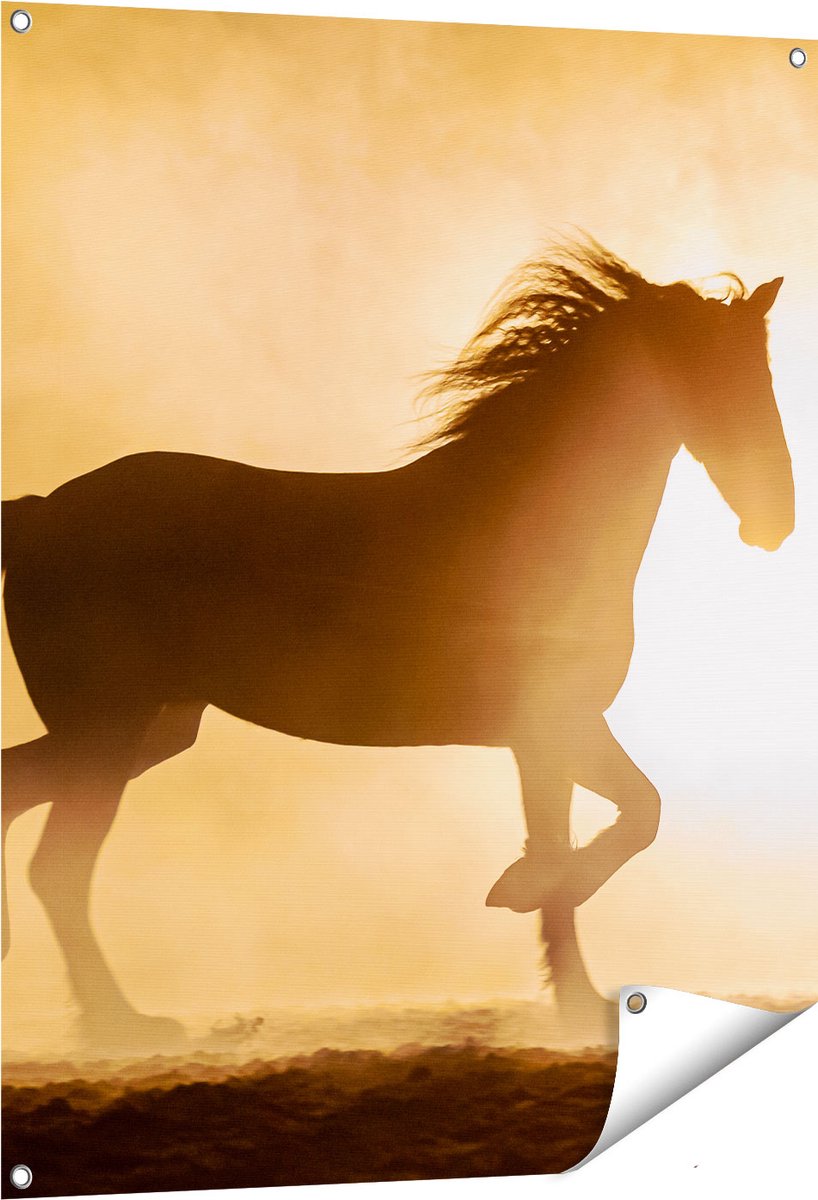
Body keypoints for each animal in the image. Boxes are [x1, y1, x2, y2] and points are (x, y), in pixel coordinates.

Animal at [1, 239, 794, 1048]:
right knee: (58, 868)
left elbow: (582, 839)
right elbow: (635, 816)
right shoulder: (556, 726)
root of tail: (38, 512)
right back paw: (124, 1025)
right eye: (710, 374)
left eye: (761, 377)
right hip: (107, 734)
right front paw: (524, 903)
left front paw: (571, 995)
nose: (776, 519)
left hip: (149, 731)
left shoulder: (543, 739)